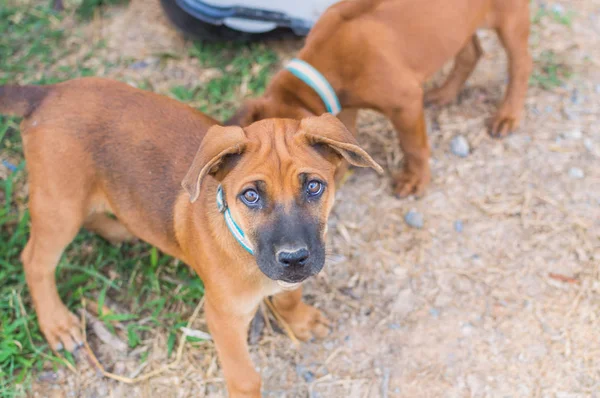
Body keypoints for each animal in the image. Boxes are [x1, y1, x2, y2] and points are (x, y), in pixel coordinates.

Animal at [0, 76, 380, 396]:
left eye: (314, 186)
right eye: (250, 196)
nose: (294, 258)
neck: (241, 242)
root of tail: (46, 92)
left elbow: (290, 295)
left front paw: (299, 319)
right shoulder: (223, 318)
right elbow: (245, 377)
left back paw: (119, 229)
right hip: (60, 205)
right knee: (34, 261)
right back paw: (57, 323)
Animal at [227, 0, 532, 197]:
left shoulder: (405, 103)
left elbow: (413, 146)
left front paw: (415, 180)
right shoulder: (343, 108)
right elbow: (342, 144)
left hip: (511, 19)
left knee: (520, 65)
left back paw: (508, 115)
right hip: (460, 26)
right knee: (471, 52)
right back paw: (445, 93)